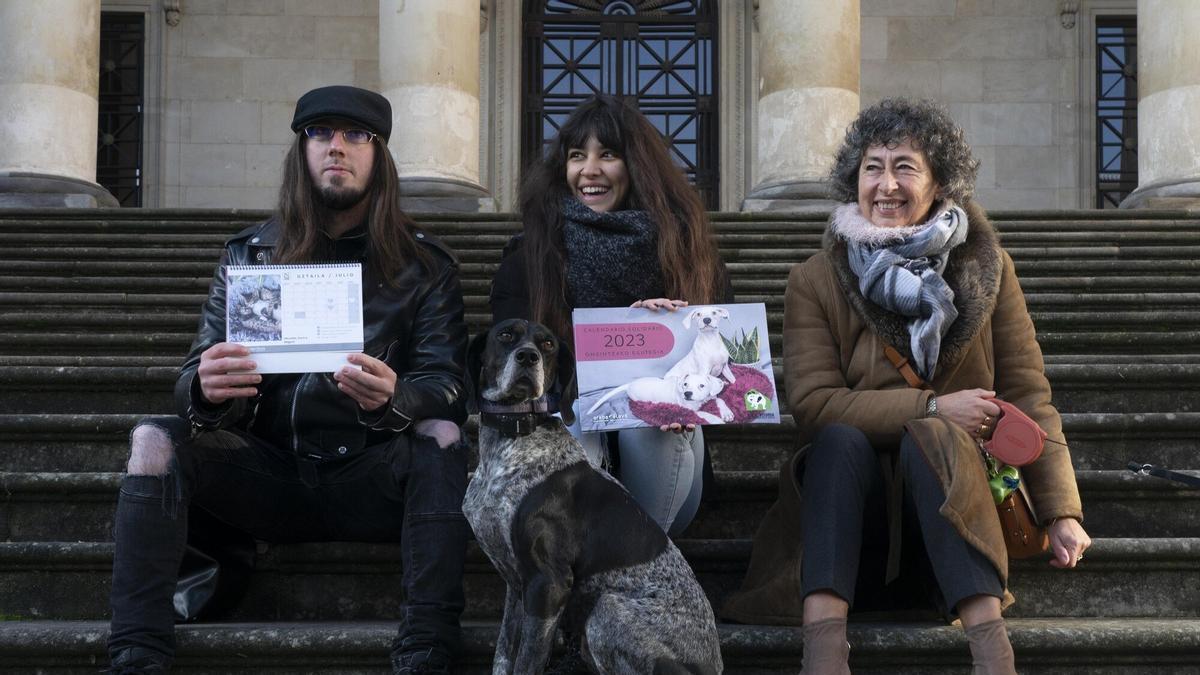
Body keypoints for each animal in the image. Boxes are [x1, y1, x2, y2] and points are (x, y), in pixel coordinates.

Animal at [458, 317, 720, 667]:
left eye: (548, 344)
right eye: (505, 335)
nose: (528, 357)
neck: (514, 438)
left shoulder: (548, 584)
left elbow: (528, 661)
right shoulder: (516, 584)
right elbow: (503, 657)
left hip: (606, 610)